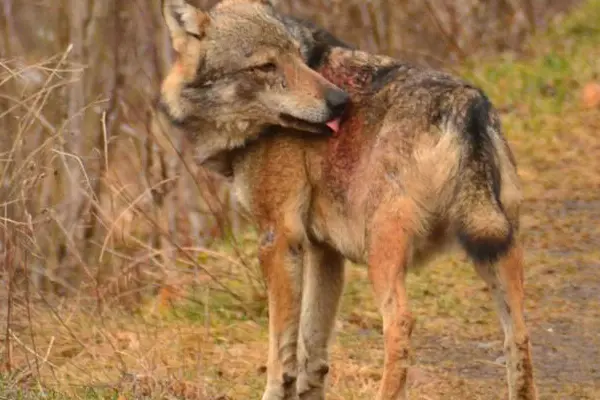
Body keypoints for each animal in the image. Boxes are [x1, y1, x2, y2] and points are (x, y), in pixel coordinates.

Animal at [157, 1, 536, 398]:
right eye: (266, 66)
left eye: (297, 56)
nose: (340, 102)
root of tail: (467, 105)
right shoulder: (324, 250)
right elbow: (311, 353)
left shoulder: (279, 238)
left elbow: (281, 356)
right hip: (496, 247)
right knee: (519, 338)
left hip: (382, 253)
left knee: (401, 324)